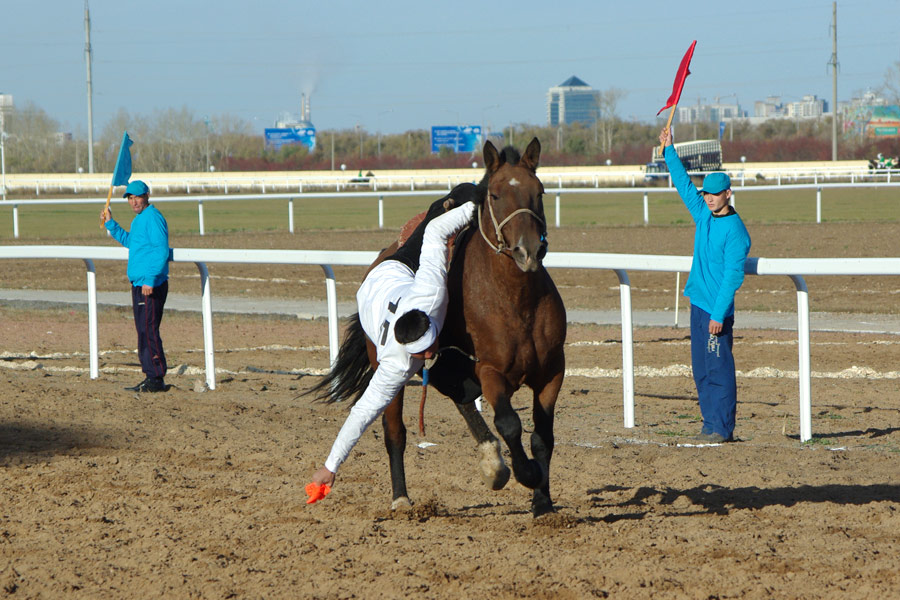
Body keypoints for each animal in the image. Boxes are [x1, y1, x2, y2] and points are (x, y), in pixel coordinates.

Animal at [310, 137, 564, 516]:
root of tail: (383, 258)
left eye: (540, 192)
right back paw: (402, 496)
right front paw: (528, 474)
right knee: (395, 431)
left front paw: (543, 501)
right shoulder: (490, 371)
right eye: (495, 195)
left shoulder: (551, 371)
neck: (518, 304)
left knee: (459, 394)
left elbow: (542, 437)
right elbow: (510, 424)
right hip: (387, 366)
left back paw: (493, 465)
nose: (528, 251)